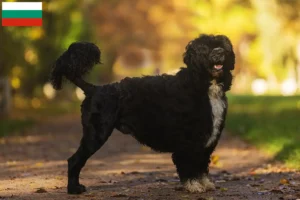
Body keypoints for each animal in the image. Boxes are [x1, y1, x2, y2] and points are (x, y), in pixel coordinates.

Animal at [50, 34, 236, 194]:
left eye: (223, 46)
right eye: (204, 47)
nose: (219, 52)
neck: (204, 85)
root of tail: (93, 89)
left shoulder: (207, 139)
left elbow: (201, 165)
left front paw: (205, 184)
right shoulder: (188, 141)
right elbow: (189, 166)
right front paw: (194, 186)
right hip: (96, 134)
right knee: (74, 161)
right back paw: (74, 189)